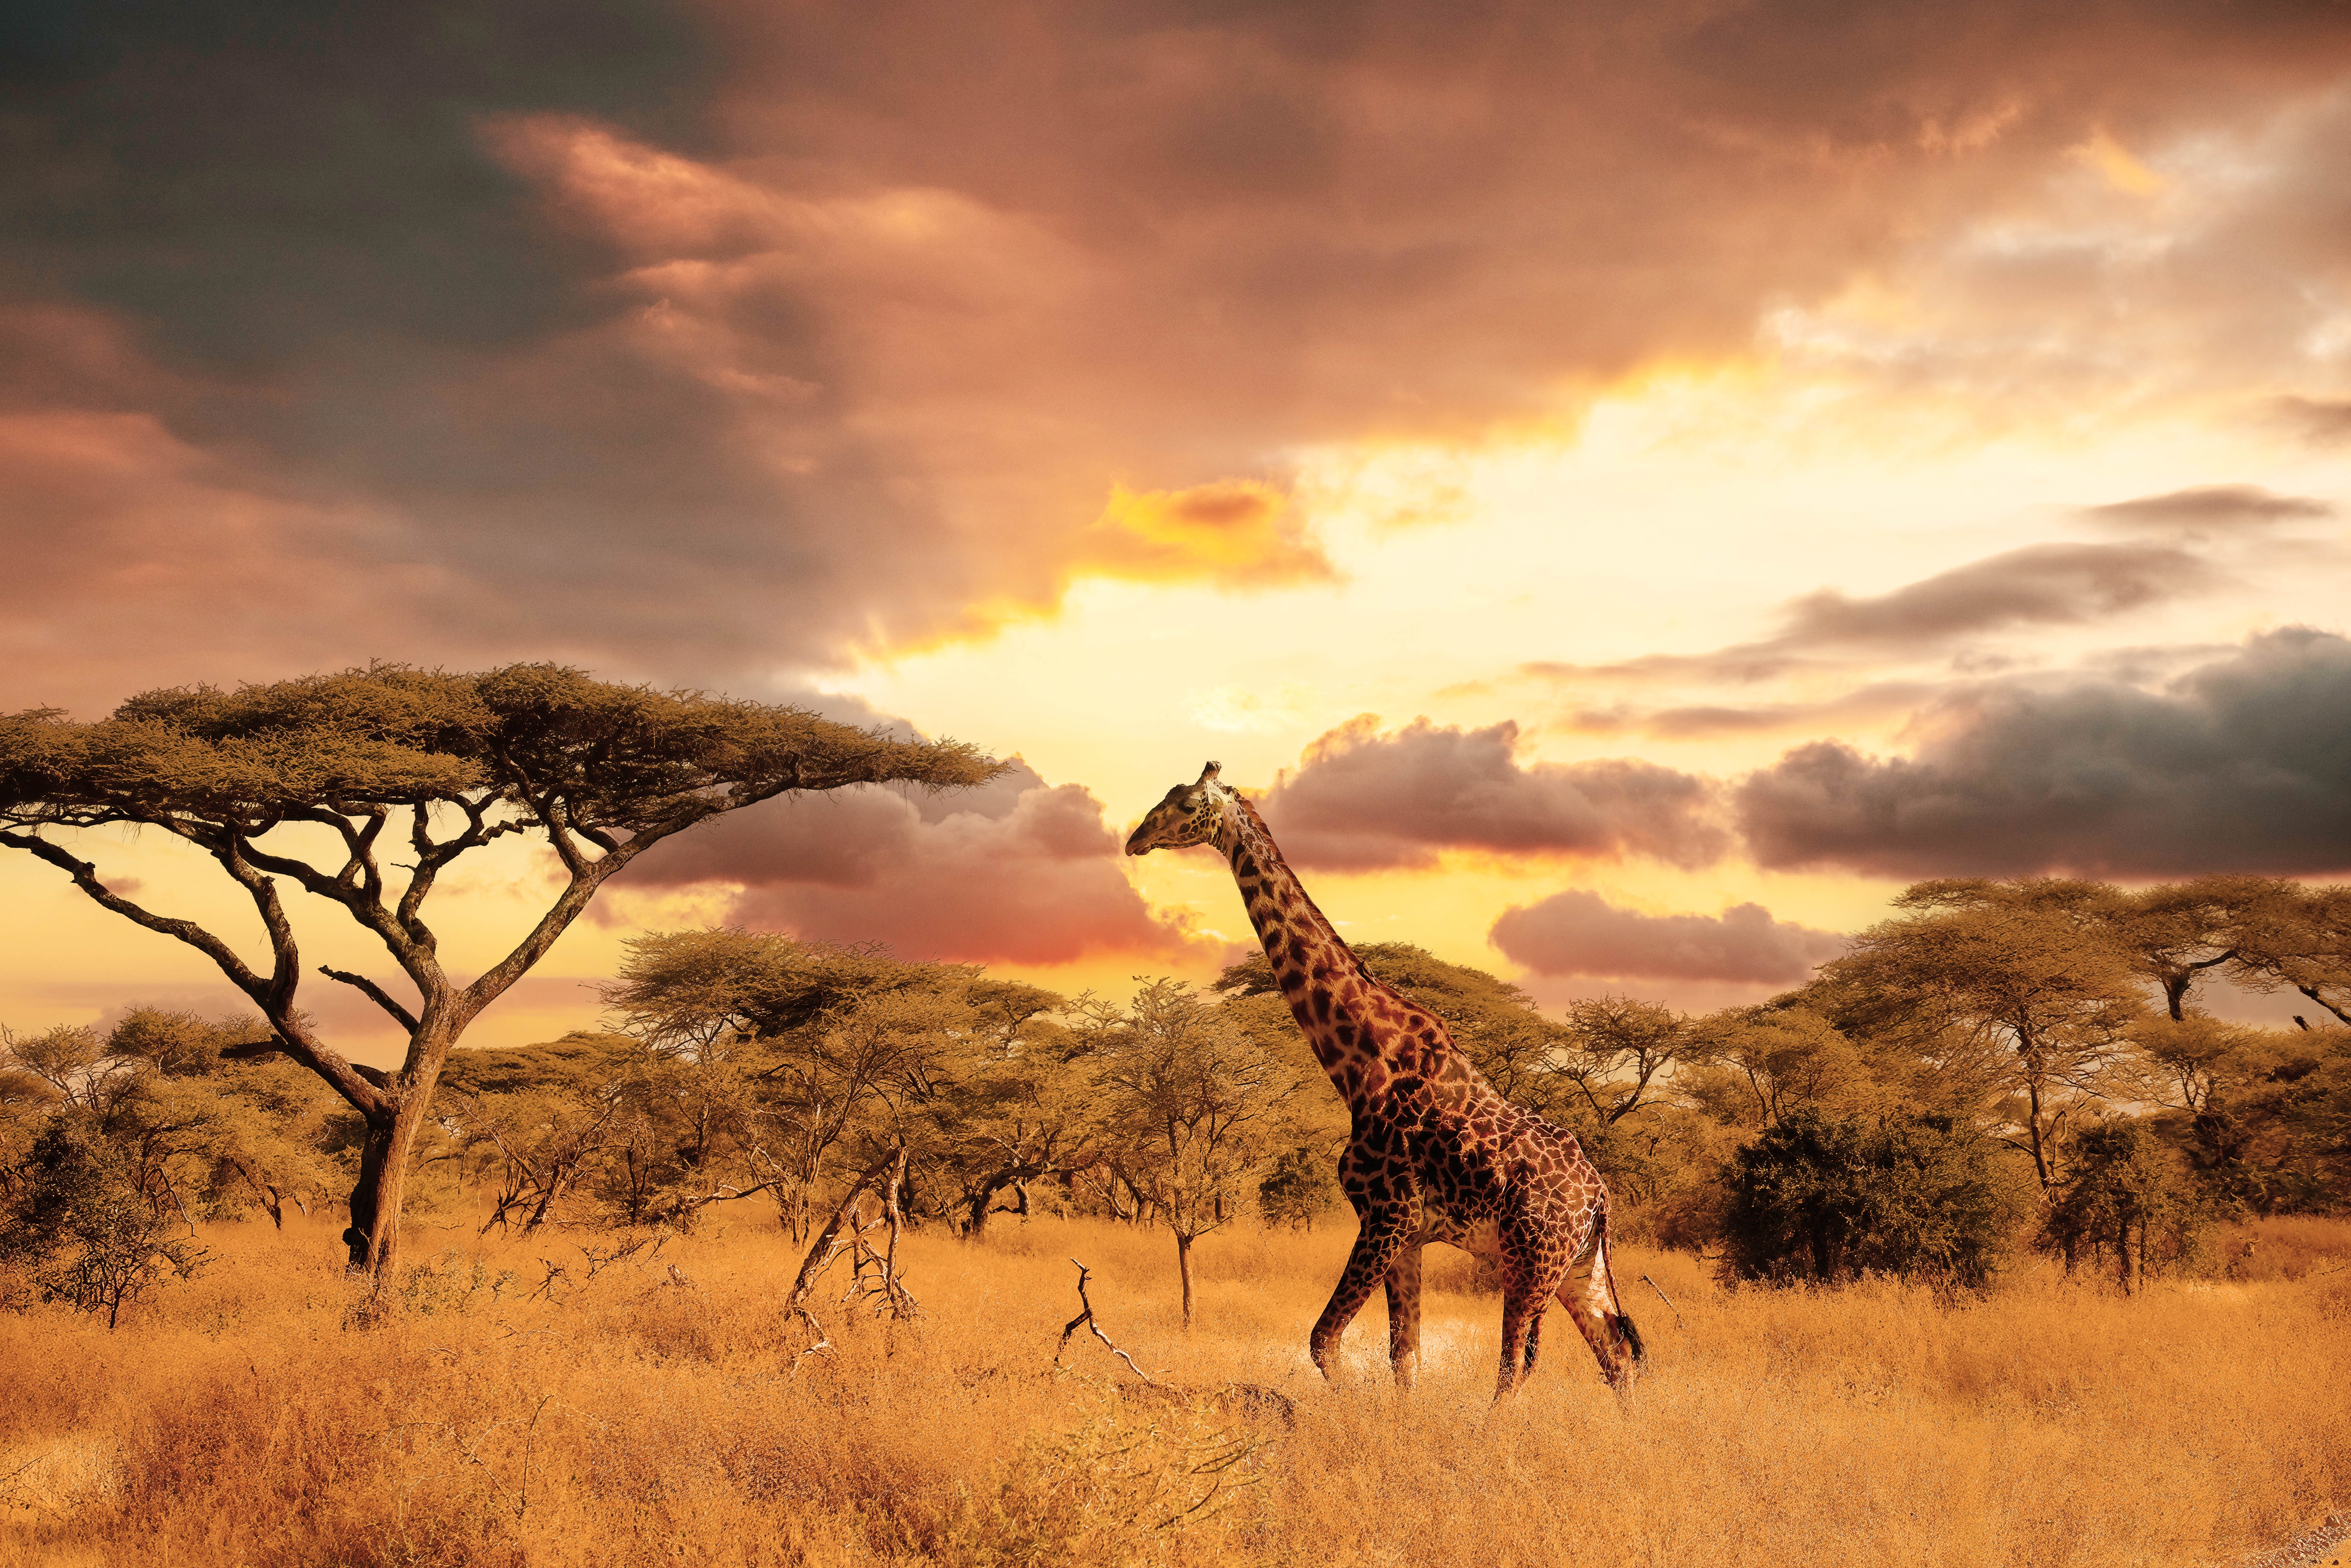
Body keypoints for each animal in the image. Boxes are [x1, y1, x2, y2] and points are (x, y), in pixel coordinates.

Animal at [1126, 762, 1644, 1400]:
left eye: (1186, 804)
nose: (1135, 838)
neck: (1359, 1064)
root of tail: (1598, 1196)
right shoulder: (1408, 1233)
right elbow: (1404, 1356)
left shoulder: (1386, 1213)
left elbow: (1324, 1338)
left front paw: (1351, 1413)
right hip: (1578, 1269)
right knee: (1617, 1352)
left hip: (1530, 1261)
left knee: (1516, 1364)